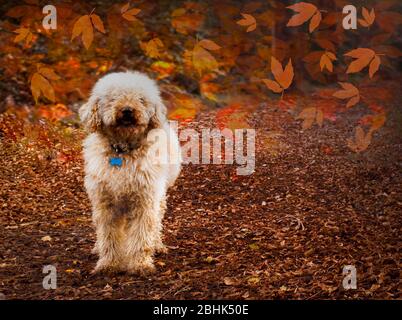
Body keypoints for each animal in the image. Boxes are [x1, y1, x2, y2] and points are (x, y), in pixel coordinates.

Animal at [79, 71, 181, 274]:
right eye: (112, 98)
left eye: (141, 99)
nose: (127, 110)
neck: (123, 151)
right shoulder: (106, 203)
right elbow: (108, 236)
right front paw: (109, 264)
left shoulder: (144, 201)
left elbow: (142, 235)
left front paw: (140, 264)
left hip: (157, 196)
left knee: (156, 222)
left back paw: (157, 245)